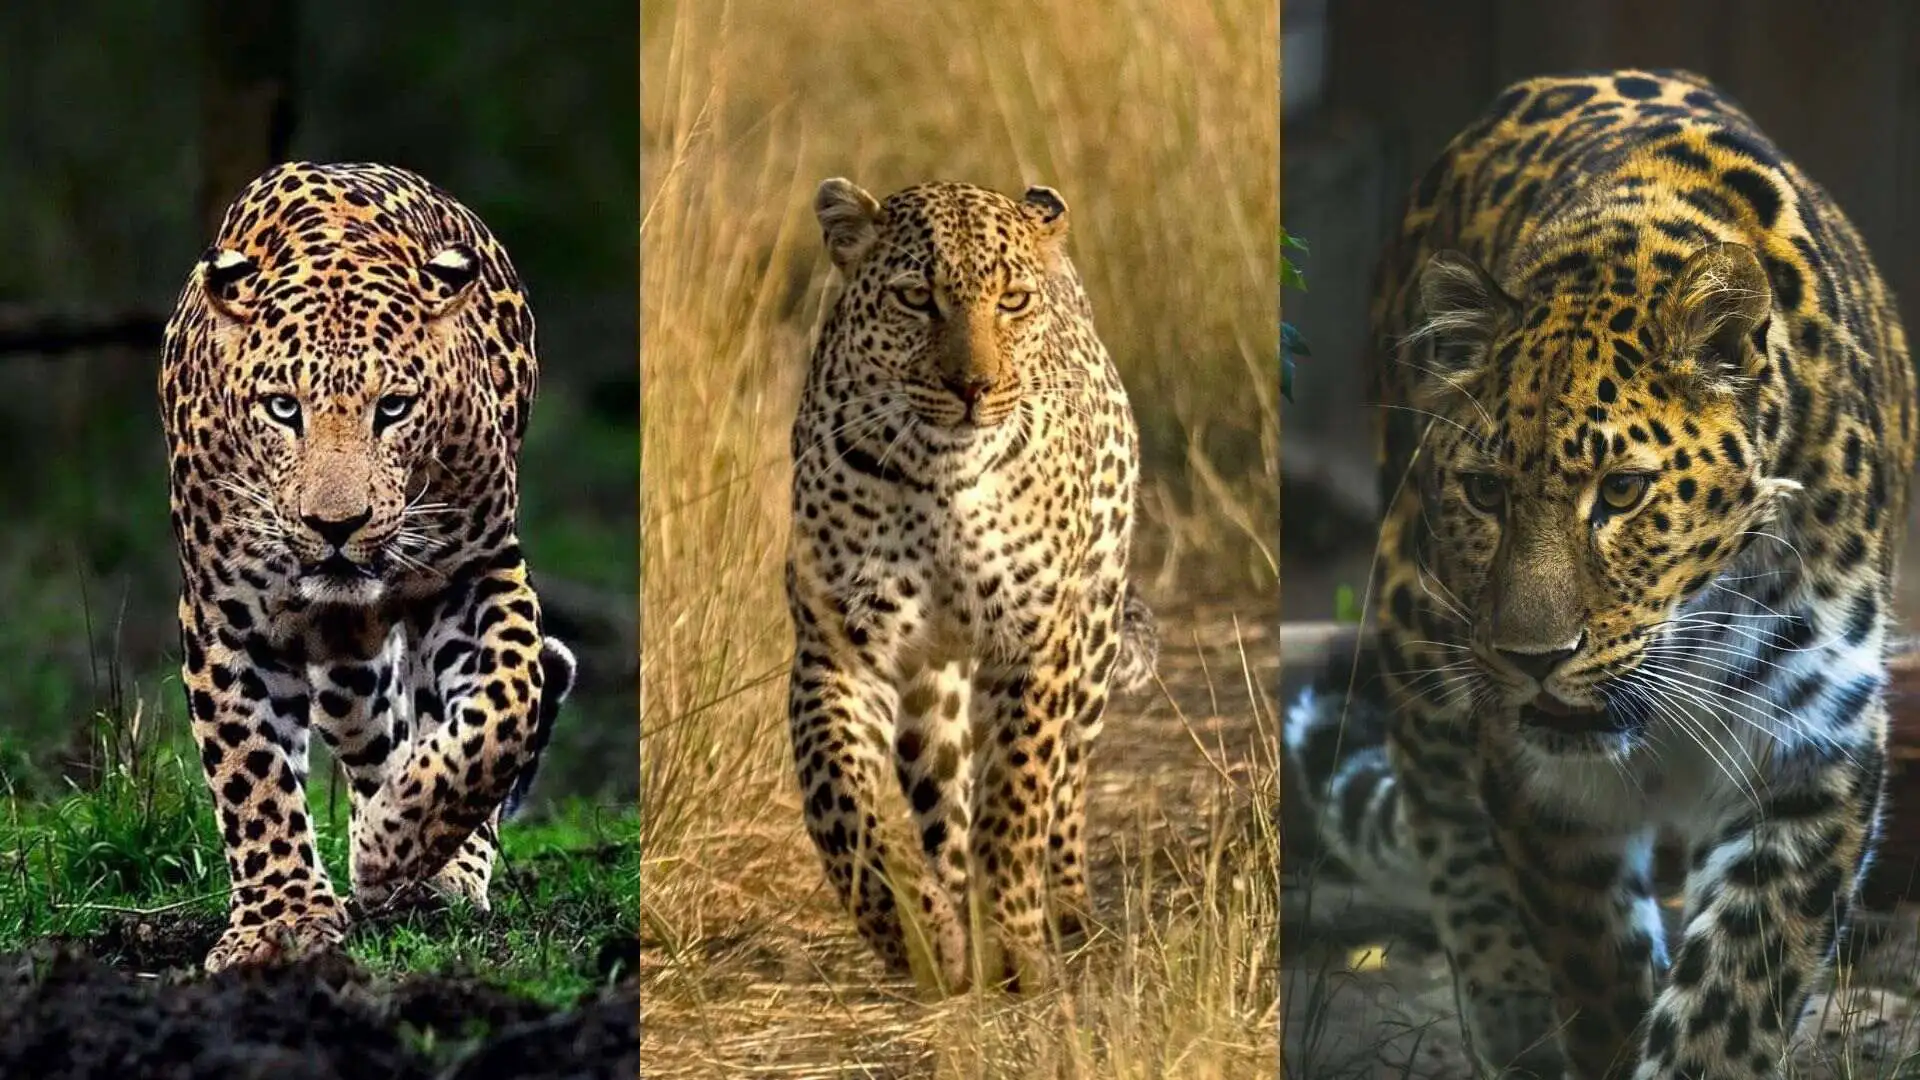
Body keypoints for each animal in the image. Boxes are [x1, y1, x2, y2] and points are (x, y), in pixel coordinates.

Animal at [158, 161, 580, 973]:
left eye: (393, 408)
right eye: (282, 408)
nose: (335, 526)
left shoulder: (478, 570)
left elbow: (505, 709)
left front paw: (396, 845)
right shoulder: (226, 615)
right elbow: (251, 773)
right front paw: (281, 922)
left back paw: (435, 864)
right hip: (345, 671)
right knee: (372, 732)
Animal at [786, 177, 1159, 994]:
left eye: (1012, 302)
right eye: (915, 298)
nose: (972, 388)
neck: (941, 476)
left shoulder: (1034, 644)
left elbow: (1017, 796)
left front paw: (1017, 941)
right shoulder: (839, 649)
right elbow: (843, 804)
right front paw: (920, 936)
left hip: (1092, 634)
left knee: (1067, 786)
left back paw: (1068, 913)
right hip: (932, 686)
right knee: (945, 802)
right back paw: (957, 917)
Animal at [1284, 69, 1913, 1079]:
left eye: (1621, 491)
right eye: (1486, 490)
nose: (1535, 658)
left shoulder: (1814, 744)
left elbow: (1735, 990)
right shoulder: (1541, 784)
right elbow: (1595, 963)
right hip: (1412, 609)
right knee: (1437, 795)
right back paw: (1508, 1009)